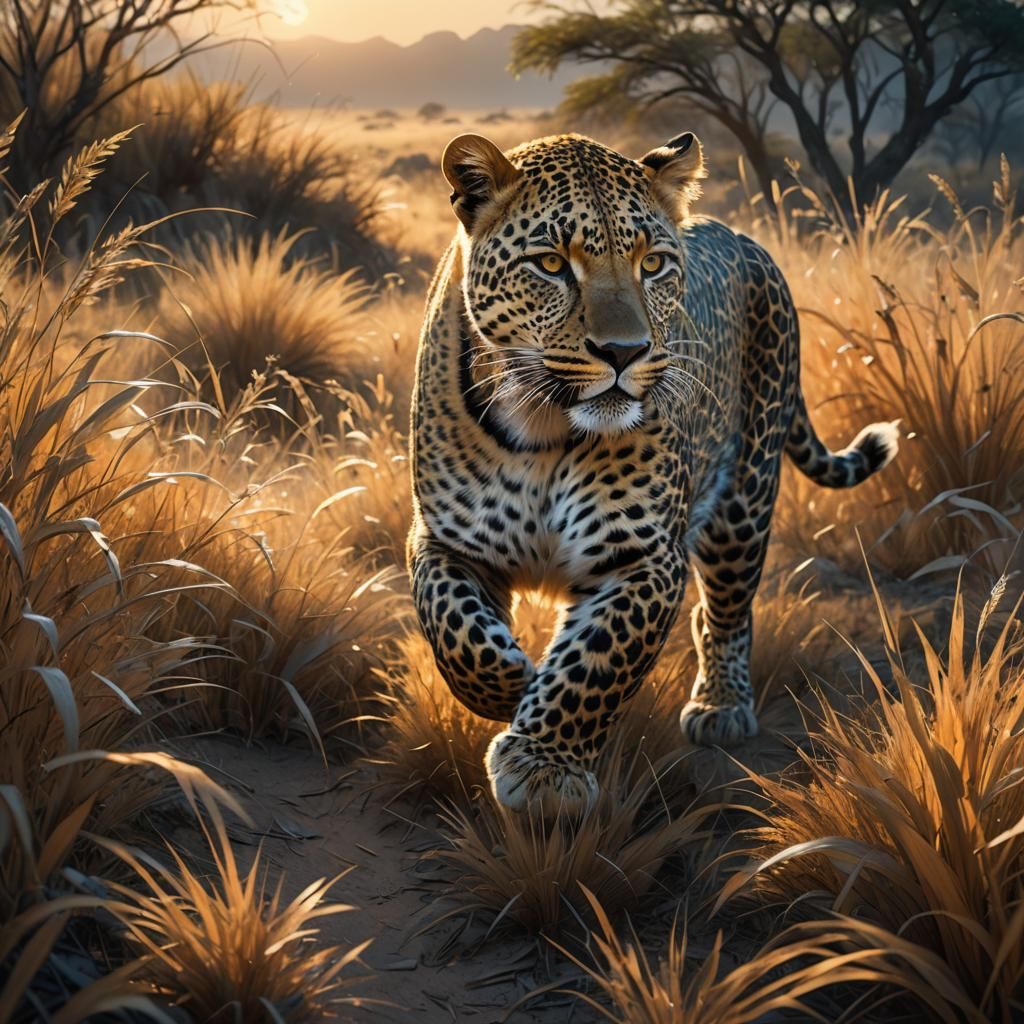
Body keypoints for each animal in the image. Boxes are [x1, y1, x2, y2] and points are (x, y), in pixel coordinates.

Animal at [407, 130, 898, 817]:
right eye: (551, 265)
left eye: (653, 264)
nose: (624, 352)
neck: (541, 425)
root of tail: (745, 239)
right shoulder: (445, 540)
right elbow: (454, 631)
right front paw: (510, 688)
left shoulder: (643, 557)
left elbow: (597, 661)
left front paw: (545, 766)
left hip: (743, 503)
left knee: (726, 609)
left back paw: (721, 705)